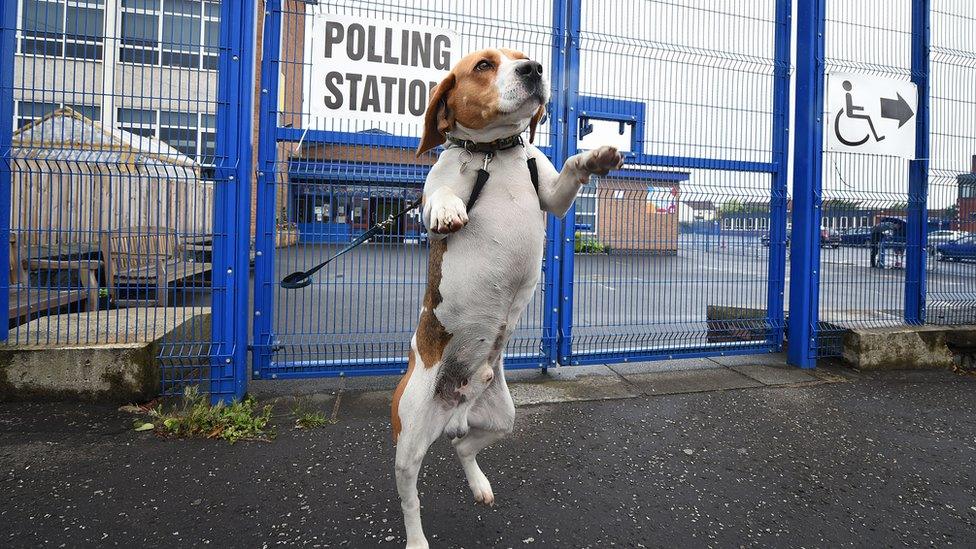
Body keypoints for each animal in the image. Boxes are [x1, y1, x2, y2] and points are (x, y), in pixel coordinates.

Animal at [390, 49, 624, 544]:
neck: (494, 153)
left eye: (524, 59)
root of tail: (457, 402)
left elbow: (568, 171)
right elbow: (437, 195)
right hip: (409, 438)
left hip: (501, 417)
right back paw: (417, 540)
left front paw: (595, 155)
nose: (534, 69)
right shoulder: (434, 192)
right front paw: (448, 209)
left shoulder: (552, 197)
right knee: (409, 495)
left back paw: (479, 484)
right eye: (483, 65)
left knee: (463, 446)